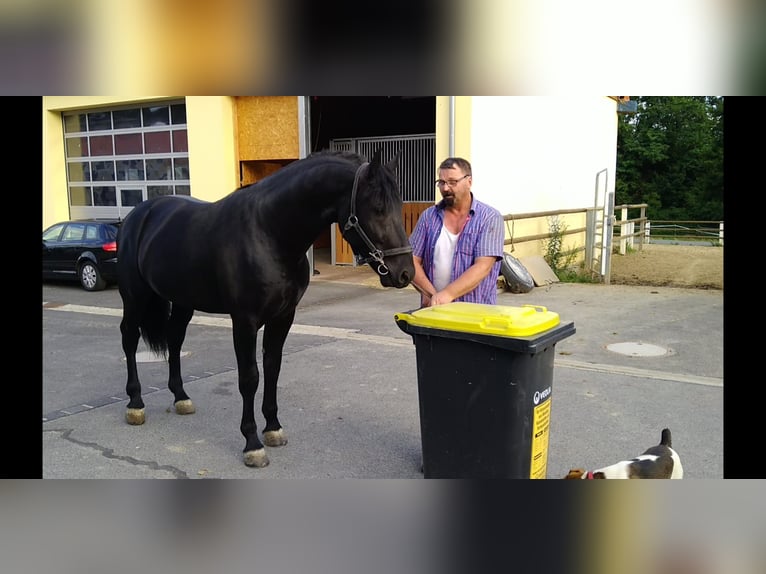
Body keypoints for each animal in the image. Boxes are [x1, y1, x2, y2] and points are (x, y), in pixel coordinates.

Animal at [116, 152, 414, 468]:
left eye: (398, 206)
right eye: (378, 208)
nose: (405, 273)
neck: (269, 232)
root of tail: (138, 214)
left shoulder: (282, 318)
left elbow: (273, 370)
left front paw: (273, 428)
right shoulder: (244, 321)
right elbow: (249, 378)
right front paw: (252, 443)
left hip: (183, 301)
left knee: (174, 340)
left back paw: (181, 397)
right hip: (135, 296)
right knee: (129, 339)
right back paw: (135, 404)